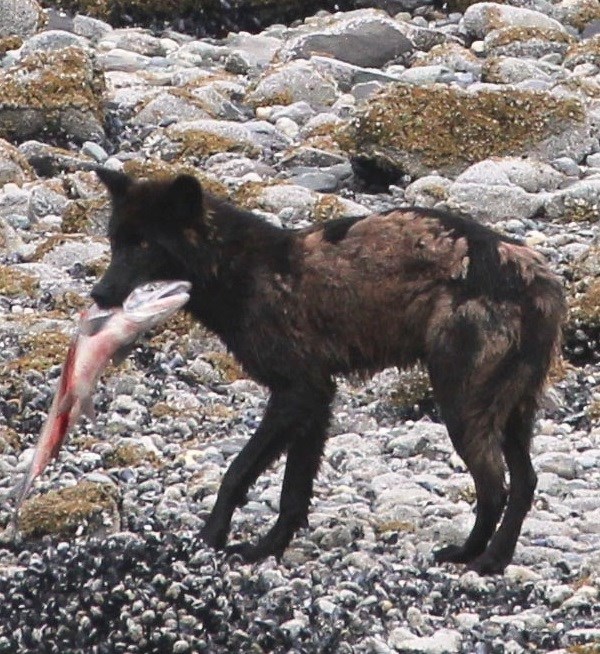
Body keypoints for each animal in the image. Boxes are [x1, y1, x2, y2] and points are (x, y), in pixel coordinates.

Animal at [91, 170, 564, 580]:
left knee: (495, 487)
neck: (243, 272)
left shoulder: (297, 392)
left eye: (145, 244)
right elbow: (293, 493)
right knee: (525, 483)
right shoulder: (317, 401)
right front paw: (267, 549)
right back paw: (490, 555)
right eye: (115, 241)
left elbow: (238, 473)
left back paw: (480, 559)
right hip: (511, 410)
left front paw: (210, 539)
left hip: (461, 405)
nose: (99, 294)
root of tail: (542, 279)